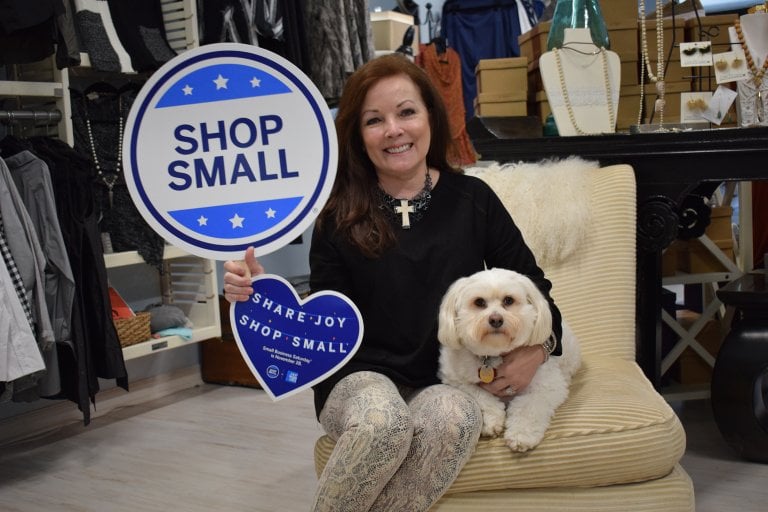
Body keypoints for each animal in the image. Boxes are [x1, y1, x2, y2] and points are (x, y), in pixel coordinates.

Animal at [436, 268, 580, 452]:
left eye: (508, 300)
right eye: (479, 302)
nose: (496, 319)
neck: (493, 355)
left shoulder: (546, 386)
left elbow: (529, 408)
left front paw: (521, 435)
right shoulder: (455, 379)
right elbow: (480, 394)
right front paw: (492, 421)